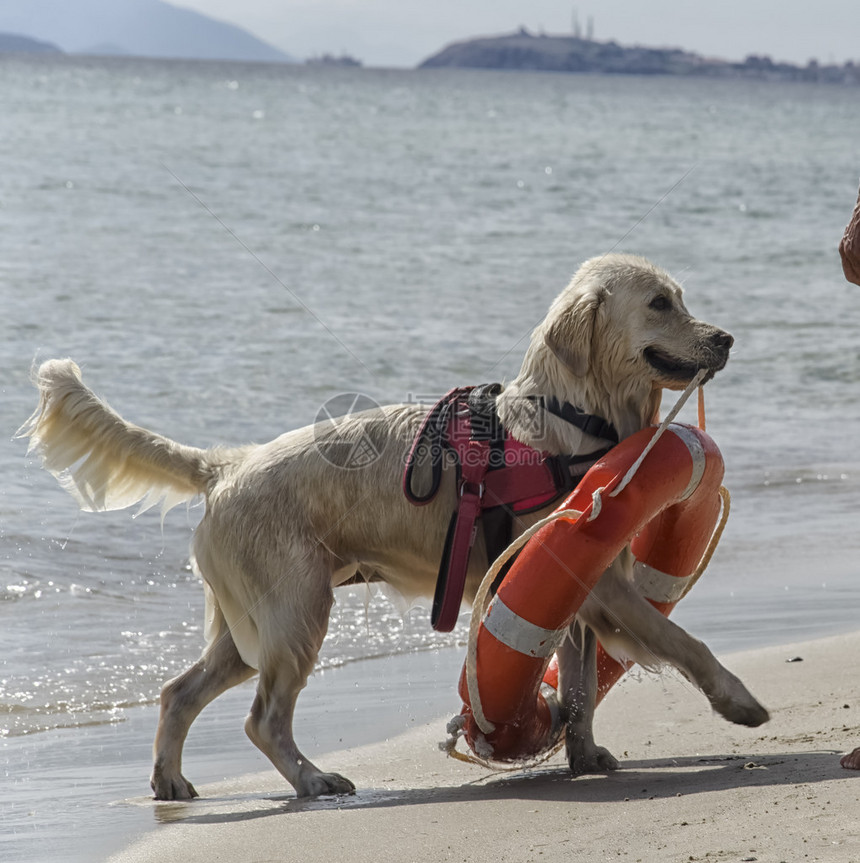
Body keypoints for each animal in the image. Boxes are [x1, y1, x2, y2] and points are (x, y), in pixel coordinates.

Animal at [20, 253, 768, 800]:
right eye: (659, 303)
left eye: (680, 297)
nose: (727, 337)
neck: (572, 417)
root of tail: (227, 465)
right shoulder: (595, 581)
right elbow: (681, 640)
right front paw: (738, 700)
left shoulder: (587, 585)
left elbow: (581, 689)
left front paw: (583, 754)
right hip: (297, 610)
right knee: (263, 717)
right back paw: (313, 779)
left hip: (251, 626)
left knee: (179, 692)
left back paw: (171, 780)